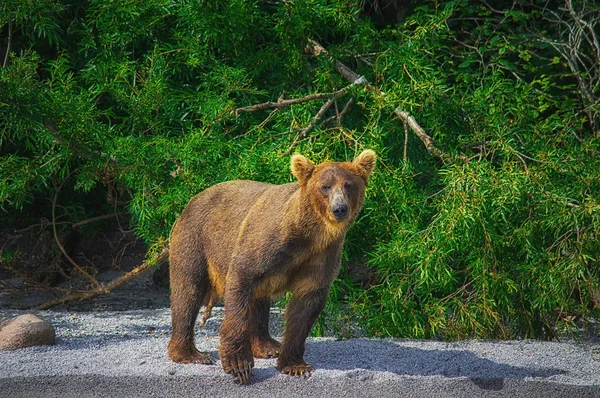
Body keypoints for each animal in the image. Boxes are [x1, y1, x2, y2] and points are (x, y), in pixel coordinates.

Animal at [169, 148, 376, 382]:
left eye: (349, 185)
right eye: (325, 186)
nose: (339, 209)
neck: (310, 234)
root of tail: (193, 198)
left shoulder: (321, 256)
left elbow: (304, 308)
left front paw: (295, 364)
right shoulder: (265, 242)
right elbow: (240, 282)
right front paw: (239, 365)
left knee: (258, 301)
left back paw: (268, 346)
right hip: (196, 239)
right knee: (188, 290)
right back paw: (191, 353)